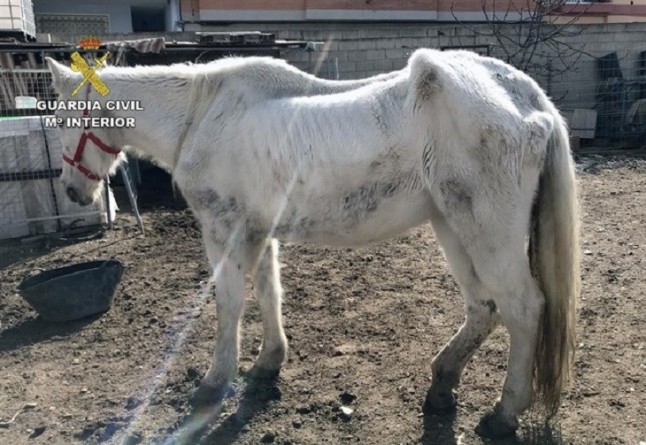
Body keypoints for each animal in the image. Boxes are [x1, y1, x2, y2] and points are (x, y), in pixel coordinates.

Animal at [46, 49, 580, 438]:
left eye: (65, 121)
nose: (72, 191)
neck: (202, 114)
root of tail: (524, 94)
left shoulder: (223, 230)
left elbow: (228, 304)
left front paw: (216, 383)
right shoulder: (259, 231)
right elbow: (268, 293)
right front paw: (267, 364)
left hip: (486, 231)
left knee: (523, 307)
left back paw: (503, 414)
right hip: (452, 226)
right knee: (484, 307)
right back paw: (443, 382)